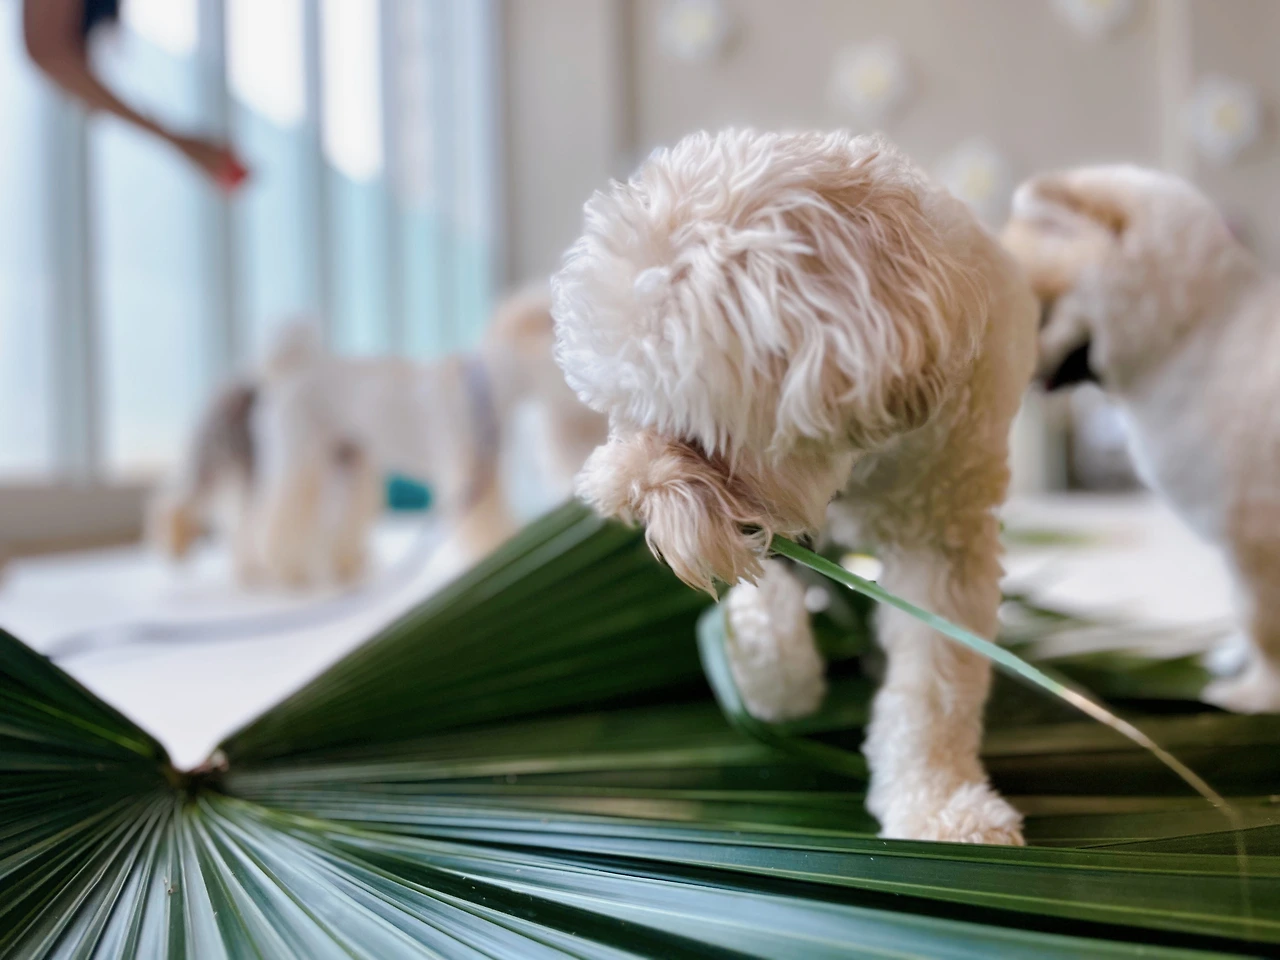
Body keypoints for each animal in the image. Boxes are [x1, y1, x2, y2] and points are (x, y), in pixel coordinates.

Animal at [152, 288, 606, 588]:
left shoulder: (485, 475)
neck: (485, 389)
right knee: (268, 519)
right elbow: (484, 525)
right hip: (300, 459)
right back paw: (285, 569)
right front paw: (498, 553)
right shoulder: (466, 473)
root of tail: (287, 369)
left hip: (345, 464)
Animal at [552, 129, 1037, 844]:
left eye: (694, 435)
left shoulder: (944, 541)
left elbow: (933, 686)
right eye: (617, 412)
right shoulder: (769, 534)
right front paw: (776, 691)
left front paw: (940, 804)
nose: (628, 501)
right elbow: (764, 615)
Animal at [1003, 164, 1280, 715]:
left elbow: (1263, 623)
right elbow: (1243, 615)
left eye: (1039, 315)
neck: (1192, 339)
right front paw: (1235, 659)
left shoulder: (1255, 530)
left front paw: (1258, 693)